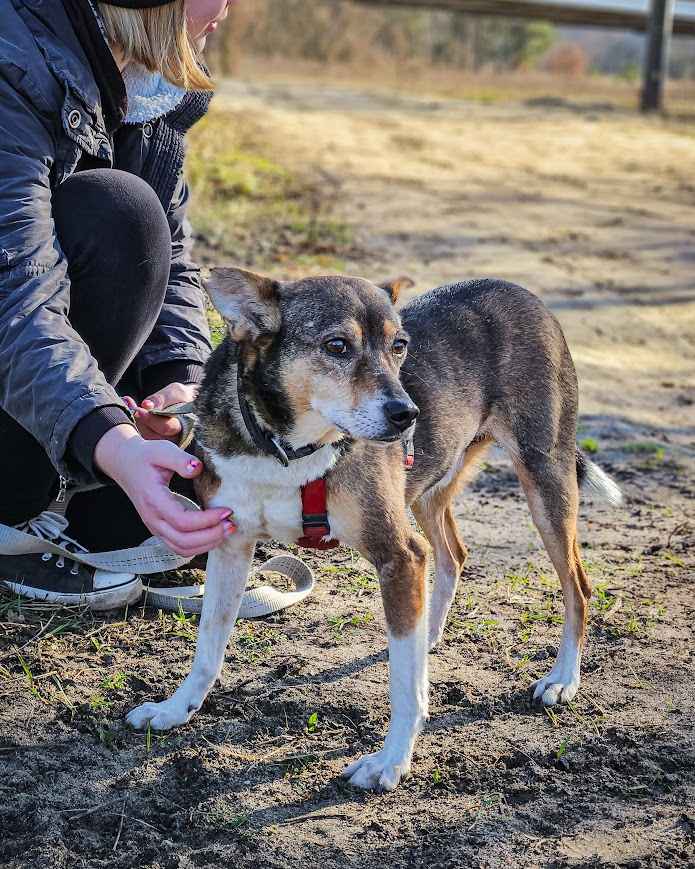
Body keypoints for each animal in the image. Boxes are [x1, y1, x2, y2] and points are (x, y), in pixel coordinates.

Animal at [128, 270, 624, 788]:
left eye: (399, 345)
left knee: (577, 586)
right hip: (428, 486)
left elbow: (404, 689)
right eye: (337, 346)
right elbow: (208, 643)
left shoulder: (399, 555)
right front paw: (175, 709)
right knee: (453, 554)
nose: (407, 414)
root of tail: (518, 290)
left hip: (544, 479)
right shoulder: (229, 545)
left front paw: (391, 760)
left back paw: (562, 679)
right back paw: (428, 635)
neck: (289, 450)